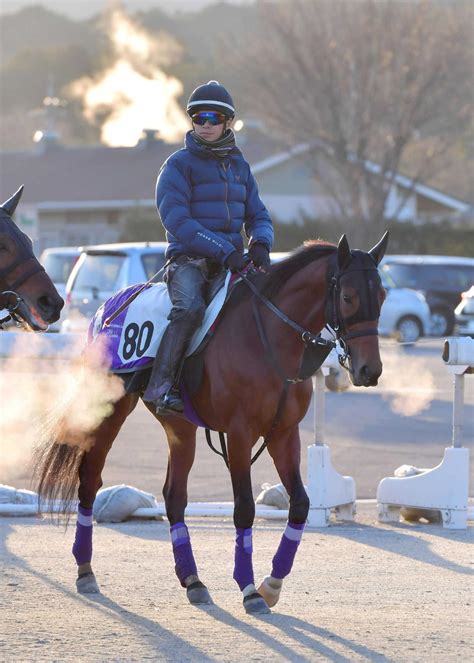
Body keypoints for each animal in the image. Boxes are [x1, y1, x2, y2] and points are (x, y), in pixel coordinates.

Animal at [32, 233, 388, 616]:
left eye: (382, 294)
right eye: (348, 297)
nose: (370, 370)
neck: (269, 338)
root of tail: (106, 310)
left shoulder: (283, 433)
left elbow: (300, 504)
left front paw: (271, 584)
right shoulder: (239, 433)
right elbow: (244, 508)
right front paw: (249, 589)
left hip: (180, 428)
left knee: (174, 496)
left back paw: (193, 580)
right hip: (107, 411)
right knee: (89, 480)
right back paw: (85, 571)